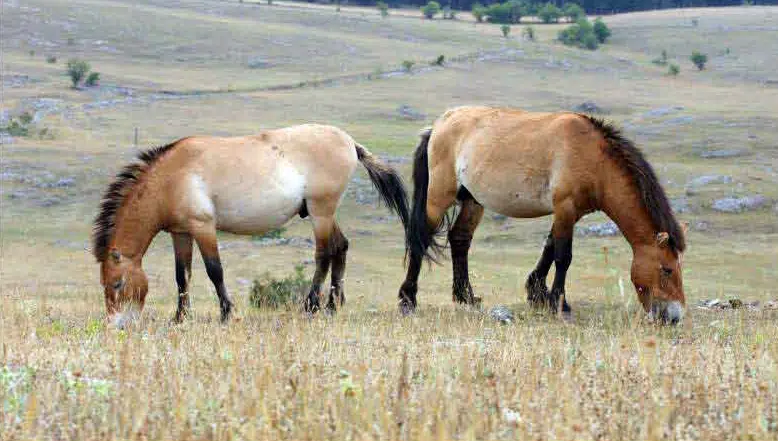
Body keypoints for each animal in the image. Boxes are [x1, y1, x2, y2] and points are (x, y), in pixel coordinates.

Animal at [93, 124, 409, 325]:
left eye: (118, 283)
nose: (117, 324)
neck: (172, 177)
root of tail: (350, 143)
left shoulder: (203, 227)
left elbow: (215, 271)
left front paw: (226, 313)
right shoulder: (181, 233)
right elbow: (182, 276)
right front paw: (180, 317)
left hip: (321, 212)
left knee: (324, 254)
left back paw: (311, 306)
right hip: (324, 214)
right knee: (341, 246)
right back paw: (332, 306)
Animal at [397, 106, 687, 324]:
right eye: (667, 269)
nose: (675, 317)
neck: (593, 158)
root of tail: (437, 126)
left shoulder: (571, 212)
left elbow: (549, 247)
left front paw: (537, 293)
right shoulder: (565, 206)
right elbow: (563, 256)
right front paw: (560, 303)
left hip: (472, 200)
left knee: (460, 239)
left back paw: (466, 296)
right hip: (439, 196)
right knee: (421, 238)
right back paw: (407, 299)